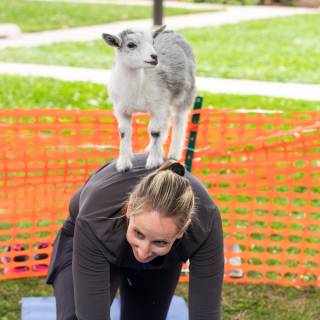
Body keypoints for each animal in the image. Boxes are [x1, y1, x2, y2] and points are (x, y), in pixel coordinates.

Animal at [102, 26, 195, 171]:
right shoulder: (121, 110)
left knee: (179, 120)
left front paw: (154, 161)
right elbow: (124, 132)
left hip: (185, 93)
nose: (154, 57)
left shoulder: (157, 106)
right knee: (166, 120)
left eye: (152, 42)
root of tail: (172, 32)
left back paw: (173, 153)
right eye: (131, 45)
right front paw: (124, 163)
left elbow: (154, 131)